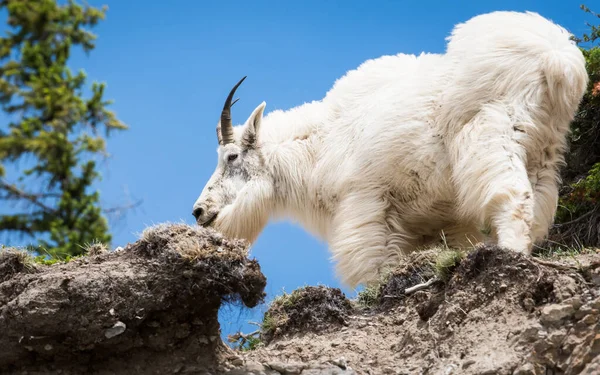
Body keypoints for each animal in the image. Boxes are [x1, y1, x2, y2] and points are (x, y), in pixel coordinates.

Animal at [195, 11, 588, 288]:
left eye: (231, 157)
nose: (200, 211)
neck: (321, 144)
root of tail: (557, 61)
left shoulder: (366, 201)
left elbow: (374, 264)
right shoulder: (443, 223)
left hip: (493, 134)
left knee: (513, 197)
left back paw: (509, 257)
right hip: (544, 153)